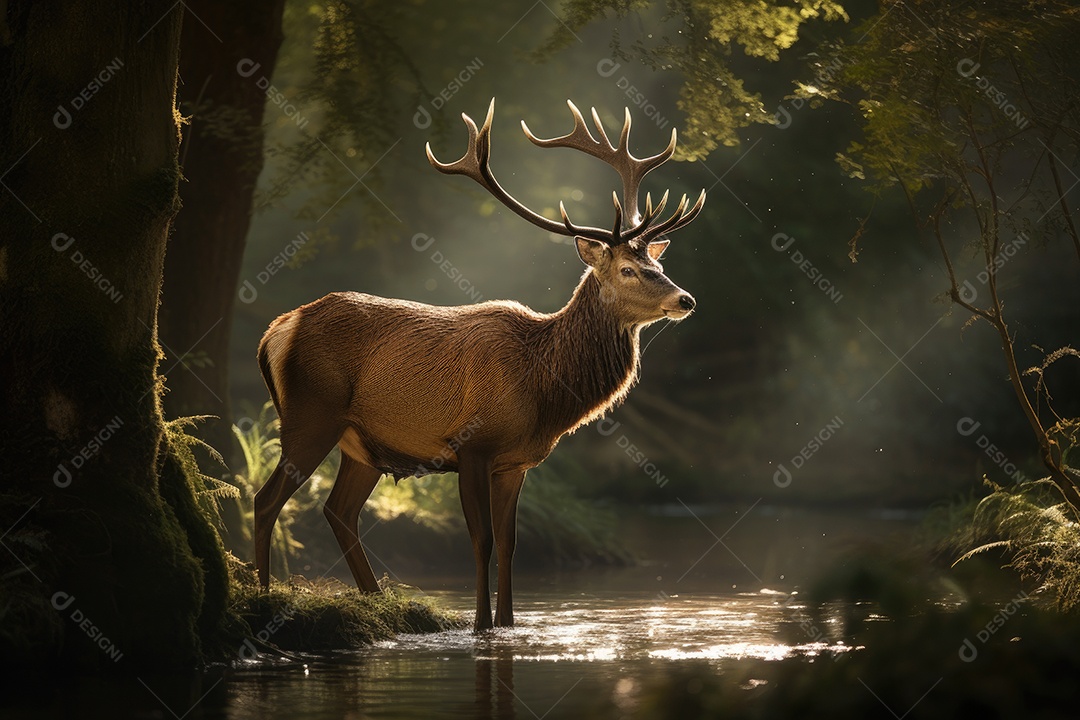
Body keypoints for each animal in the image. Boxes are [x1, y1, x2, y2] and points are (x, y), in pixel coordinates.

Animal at [253, 98, 705, 631]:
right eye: (629, 269)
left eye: (659, 265)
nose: (686, 299)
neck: (544, 391)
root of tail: (276, 330)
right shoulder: (471, 445)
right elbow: (482, 540)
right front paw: (480, 623)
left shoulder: (517, 462)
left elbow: (510, 545)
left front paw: (508, 621)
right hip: (310, 414)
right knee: (266, 499)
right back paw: (262, 594)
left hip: (360, 442)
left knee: (338, 510)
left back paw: (377, 601)